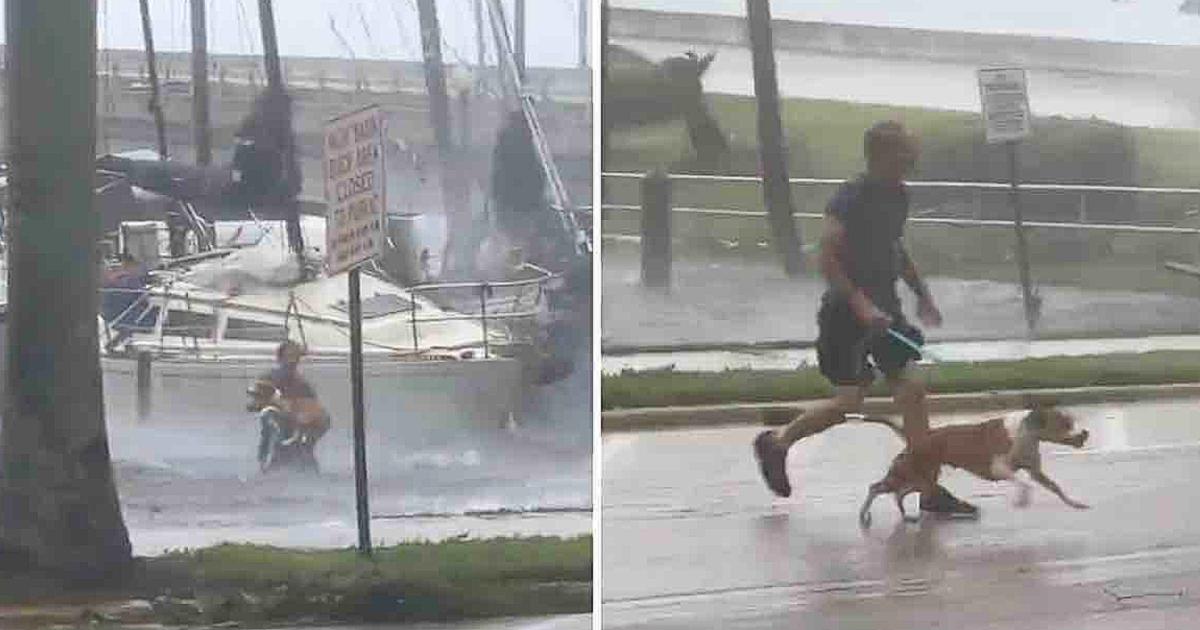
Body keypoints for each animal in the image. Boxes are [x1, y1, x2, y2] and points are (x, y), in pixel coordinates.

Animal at [854, 403, 1089, 525]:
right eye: (1064, 424)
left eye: (1071, 421)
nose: (1085, 433)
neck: (1026, 431)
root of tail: (919, 439)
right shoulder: (998, 468)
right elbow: (1023, 484)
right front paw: (1021, 500)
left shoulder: (1035, 471)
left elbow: (1055, 488)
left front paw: (1075, 503)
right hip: (910, 472)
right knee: (876, 488)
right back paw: (864, 515)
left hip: (923, 478)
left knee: (899, 494)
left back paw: (906, 516)